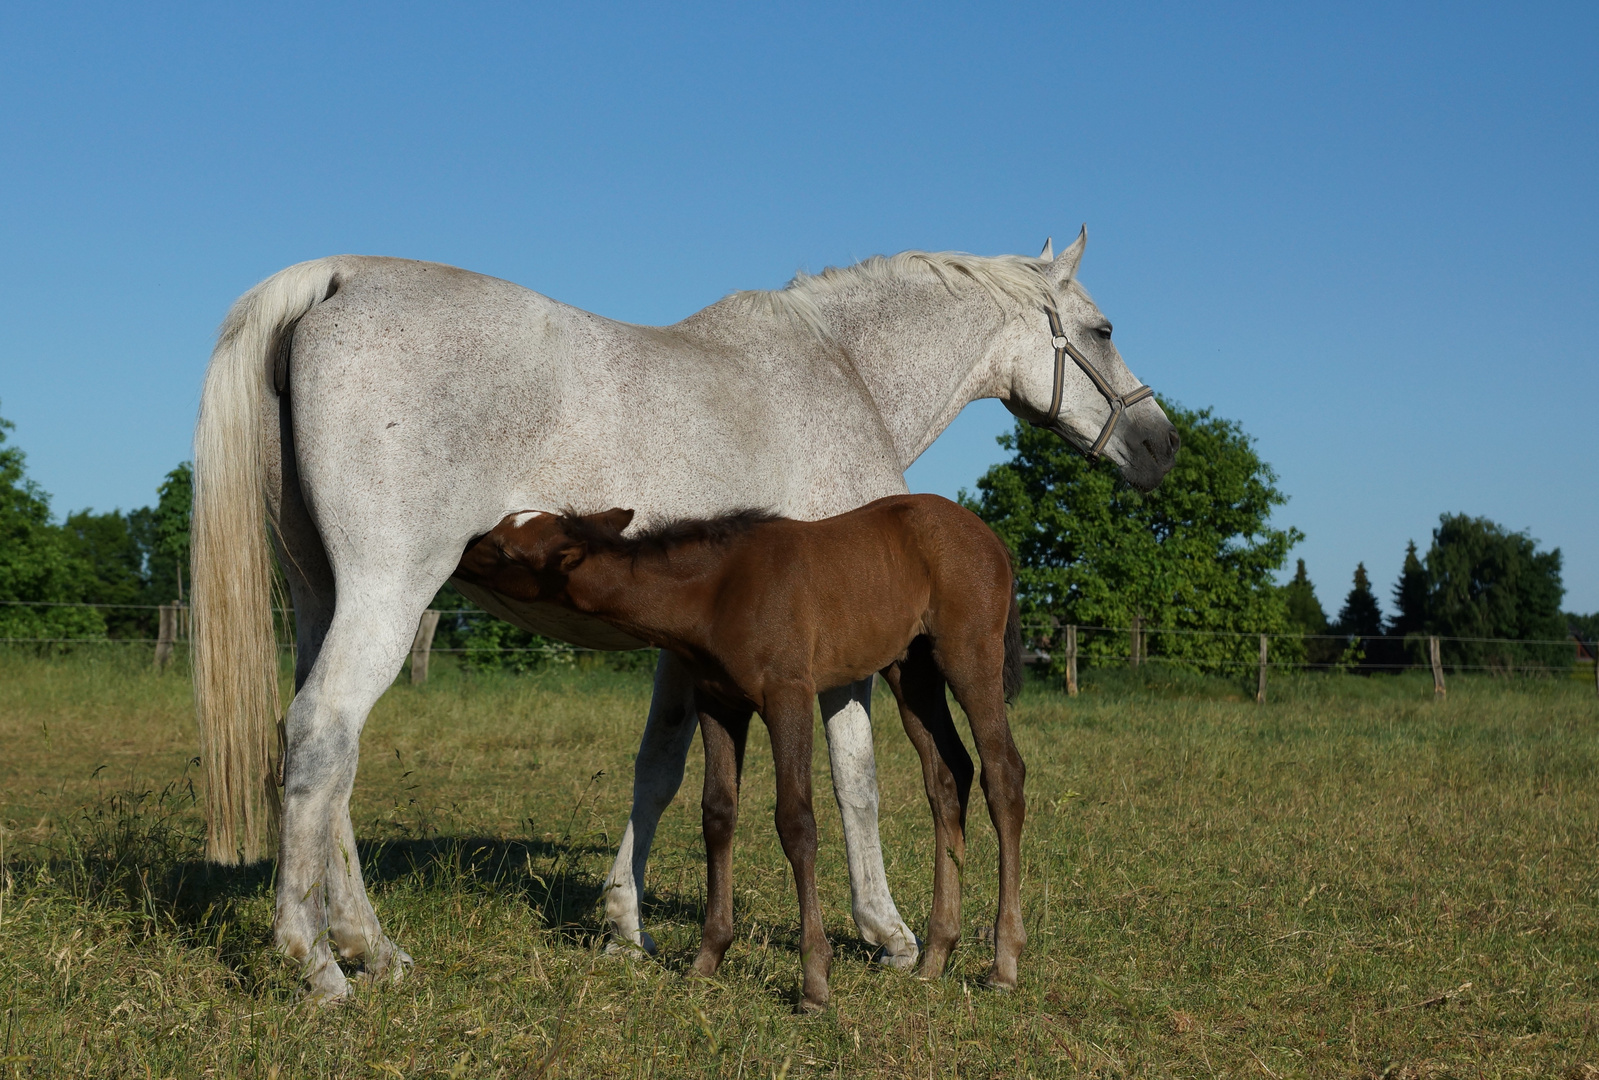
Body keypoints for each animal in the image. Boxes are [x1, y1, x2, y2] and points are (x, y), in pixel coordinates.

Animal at [454, 492, 1023, 1011]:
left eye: (505, 549)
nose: (459, 552)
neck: (714, 592)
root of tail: (990, 538)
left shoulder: (789, 695)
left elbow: (796, 822)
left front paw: (815, 982)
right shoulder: (719, 704)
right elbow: (718, 815)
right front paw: (707, 959)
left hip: (969, 656)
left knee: (1002, 775)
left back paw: (1003, 963)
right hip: (913, 672)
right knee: (948, 776)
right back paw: (935, 957)